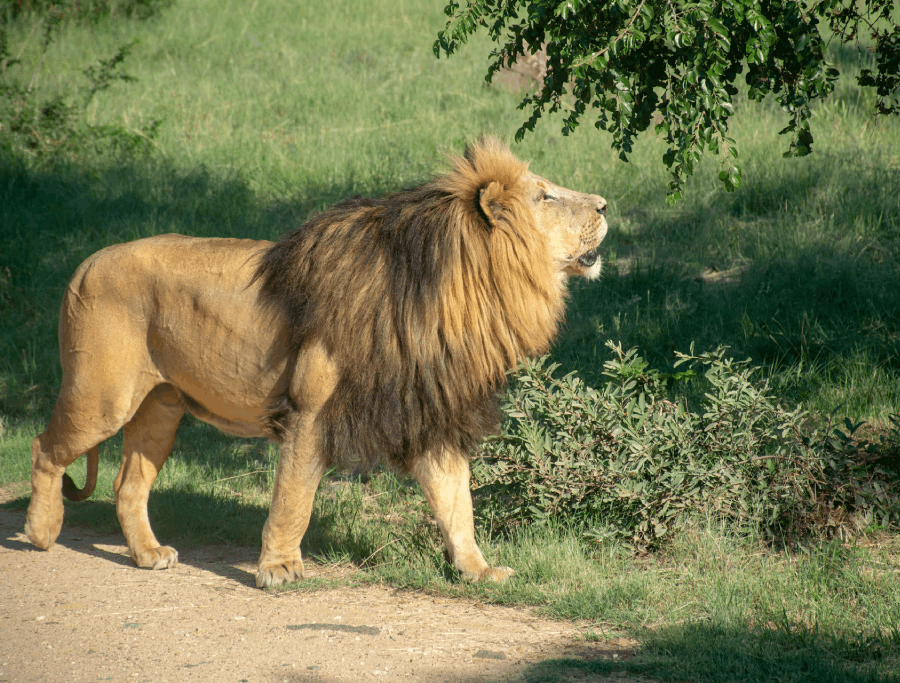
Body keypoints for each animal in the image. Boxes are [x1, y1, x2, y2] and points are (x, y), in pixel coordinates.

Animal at [25, 138, 608, 588]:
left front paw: (477, 571)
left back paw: (148, 555)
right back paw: (41, 532)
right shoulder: (310, 411)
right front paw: (278, 569)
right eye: (547, 195)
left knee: (128, 485)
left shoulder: (427, 413)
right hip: (102, 396)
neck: (456, 294)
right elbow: (294, 496)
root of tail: (86, 262)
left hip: (160, 406)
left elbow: (456, 504)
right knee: (45, 448)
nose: (605, 205)